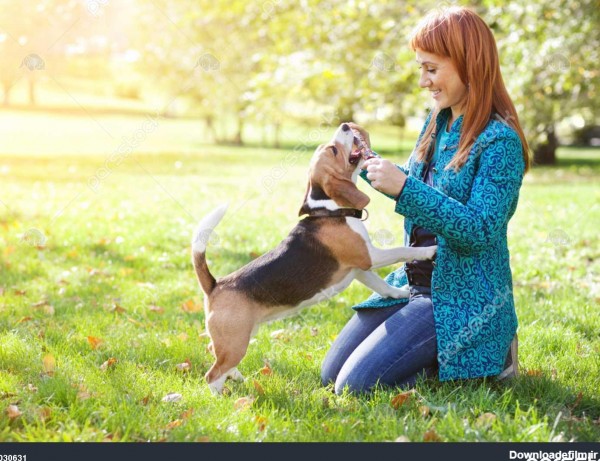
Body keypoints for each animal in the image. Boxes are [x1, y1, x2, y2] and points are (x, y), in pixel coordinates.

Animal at [191, 121, 436, 392]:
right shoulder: (369, 256)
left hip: (239, 337)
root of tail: (215, 285)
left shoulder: (359, 269)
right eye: (334, 150)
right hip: (236, 341)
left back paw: (237, 377)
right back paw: (222, 394)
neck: (330, 210)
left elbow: (382, 286)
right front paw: (428, 251)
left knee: (213, 351)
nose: (345, 125)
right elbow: (401, 251)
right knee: (212, 374)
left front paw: (401, 294)